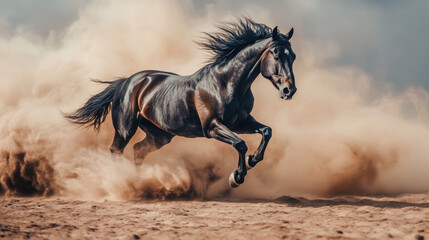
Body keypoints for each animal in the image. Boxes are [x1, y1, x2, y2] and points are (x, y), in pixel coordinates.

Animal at [65, 18, 296, 188]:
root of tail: (127, 82)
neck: (226, 84)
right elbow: (240, 144)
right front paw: (237, 176)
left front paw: (252, 160)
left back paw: (138, 183)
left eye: (292, 56)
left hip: (160, 135)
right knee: (116, 150)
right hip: (125, 128)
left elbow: (266, 131)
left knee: (138, 150)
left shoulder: (241, 122)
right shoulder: (212, 127)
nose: (289, 90)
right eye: (276, 54)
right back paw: (121, 182)